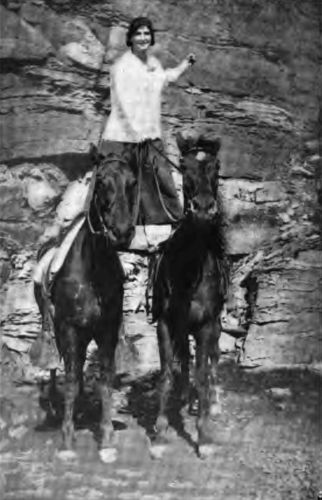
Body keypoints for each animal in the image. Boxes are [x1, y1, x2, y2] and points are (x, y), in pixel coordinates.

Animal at [33, 145, 137, 460]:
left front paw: (106, 438)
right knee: (60, 368)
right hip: (58, 330)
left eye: (133, 183)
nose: (122, 232)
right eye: (101, 181)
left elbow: (104, 380)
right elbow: (70, 381)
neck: (93, 271)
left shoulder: (106, 332)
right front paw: (67, 440)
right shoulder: (69, 330)